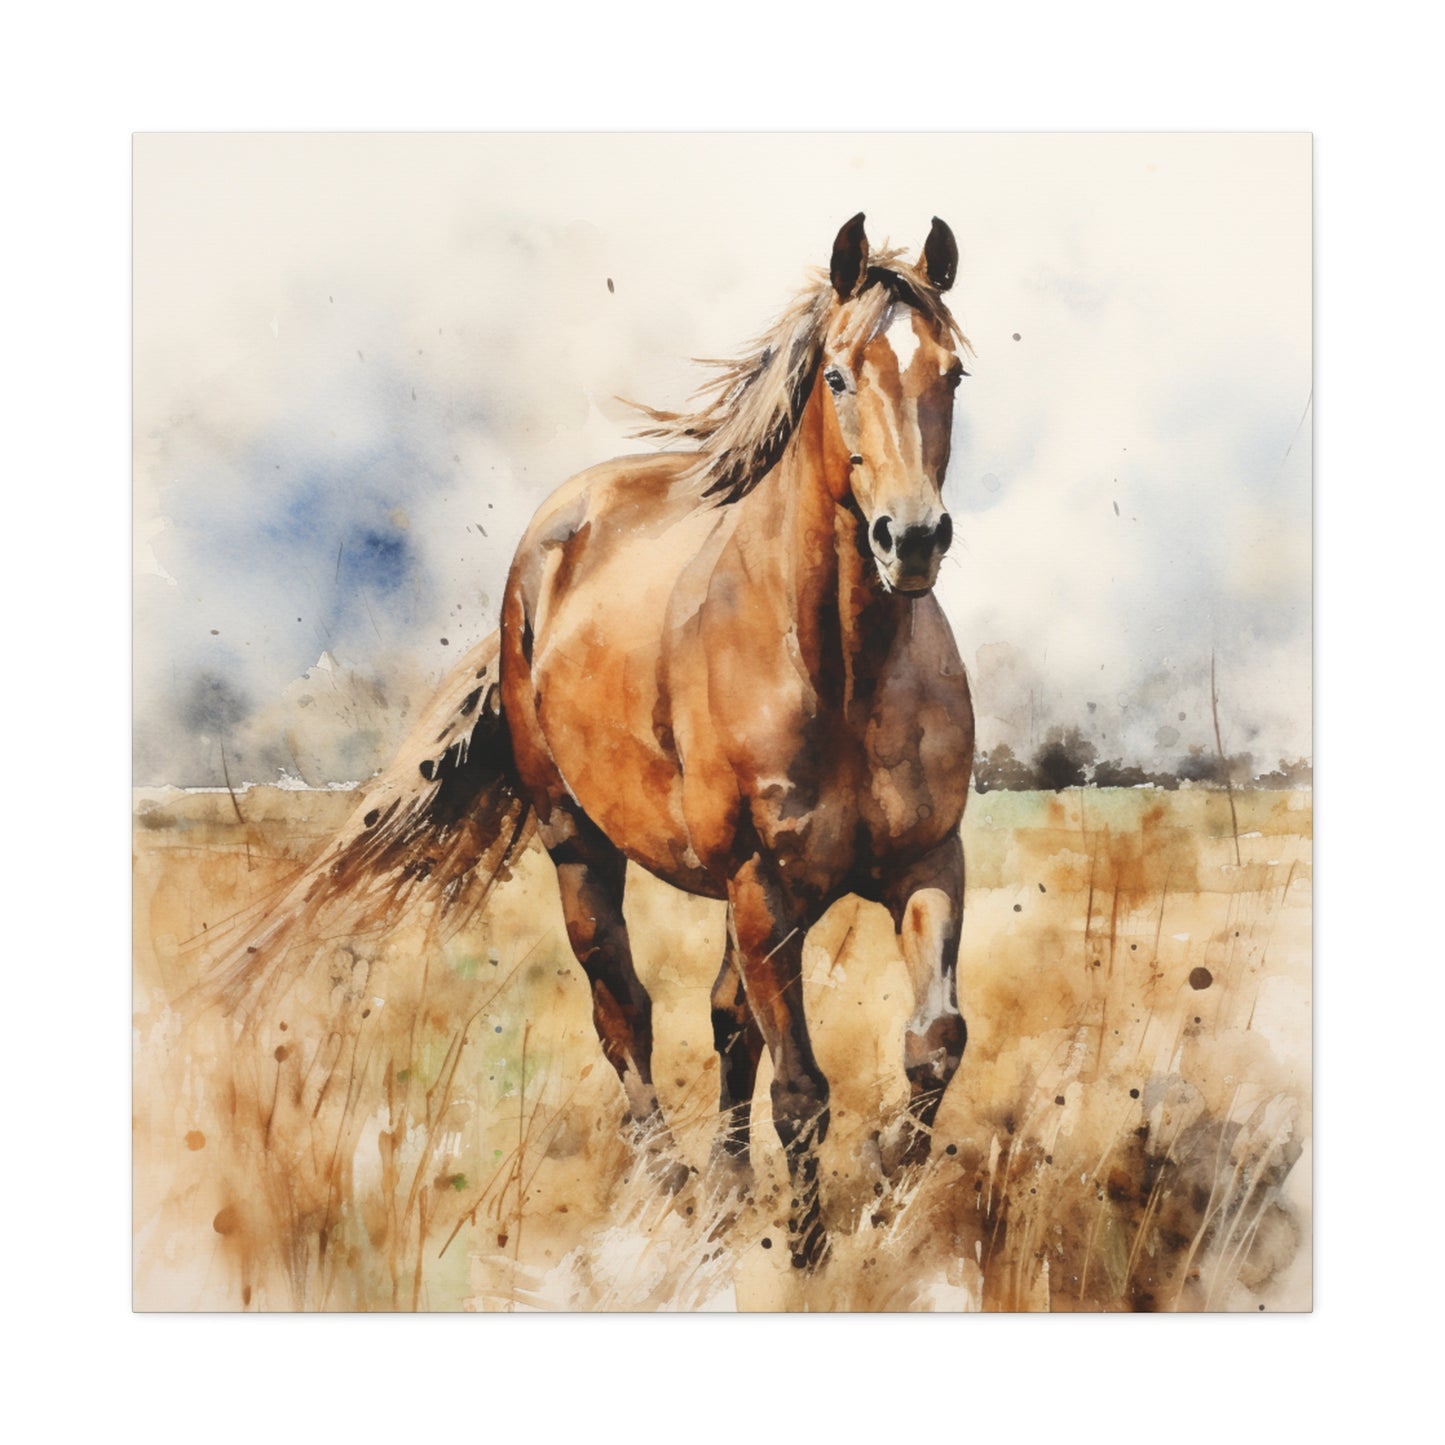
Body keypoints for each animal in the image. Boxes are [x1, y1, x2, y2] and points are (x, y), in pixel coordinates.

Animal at [211, 214, 975, 1270]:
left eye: (953, 372)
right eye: (836, 375)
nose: (912, 541)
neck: (841, 667)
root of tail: (551, 531)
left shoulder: (925, 862)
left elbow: (932, 1039)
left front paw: (886, 1189)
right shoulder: (762, 880)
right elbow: (800, 1088)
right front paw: (809, 1255)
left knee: (726, 1020)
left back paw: (726, 1192)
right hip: (580, 841)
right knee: (626, 1012)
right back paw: (673, 1183)